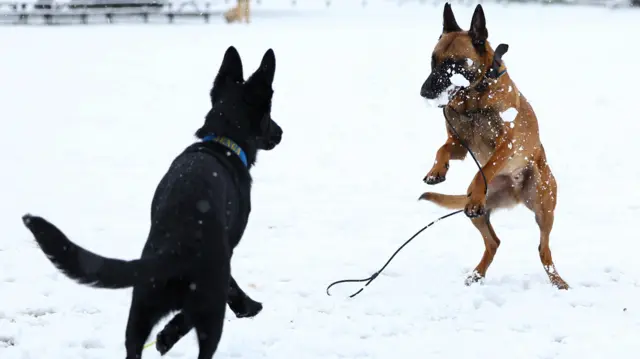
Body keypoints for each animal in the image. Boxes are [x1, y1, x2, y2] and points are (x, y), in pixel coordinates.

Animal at [22, 46, 282, 359]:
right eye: (269, 115)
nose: (281, 133)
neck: (221, 140)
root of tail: (173, 251)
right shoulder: (230, 247)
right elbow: (227, 289)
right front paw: (248, 306)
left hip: (140, 312)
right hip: (208, 307)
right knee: (197, 328)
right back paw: (171, 335)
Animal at [420, 2, 568, 292]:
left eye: (454, 64)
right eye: (433, 61)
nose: (424, 92)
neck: (474, 98)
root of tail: (516, 193)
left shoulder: (508, 147)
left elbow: (484, 170)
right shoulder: (459, 144)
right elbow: (442, 149)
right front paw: (436, 171)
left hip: (543, 205)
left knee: (543, 249)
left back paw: (558, 281)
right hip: (479, 215)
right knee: (494, 241)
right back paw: (477, 273)